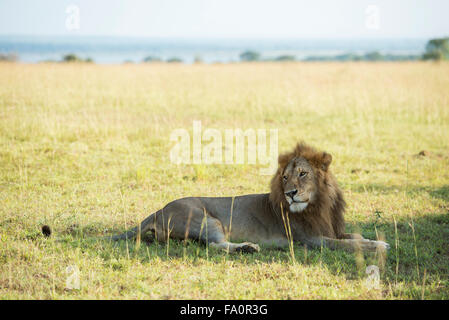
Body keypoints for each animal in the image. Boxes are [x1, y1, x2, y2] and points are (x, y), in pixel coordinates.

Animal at [111, 142, 388, 252]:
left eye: (302, 173)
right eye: (284, 178)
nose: (290, 194)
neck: (319, 204)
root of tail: (157, 210)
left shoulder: (331, 229)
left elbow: (355, 237)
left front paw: (375, 240)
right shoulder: (311, 240)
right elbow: (349, 244)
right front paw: (379, 246)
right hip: (205, 219)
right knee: (215, 245)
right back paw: (247, 247)